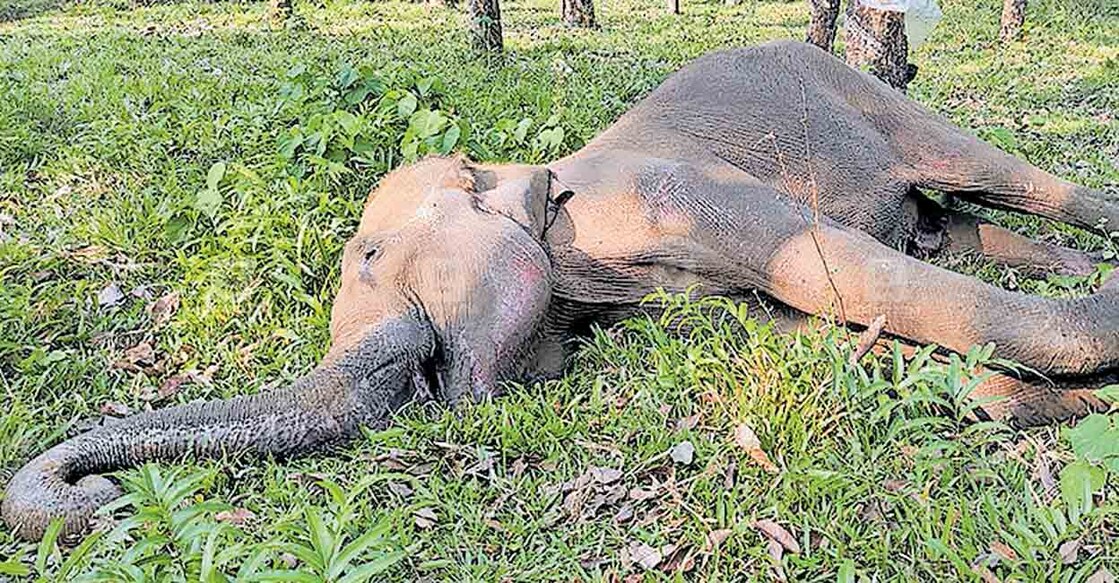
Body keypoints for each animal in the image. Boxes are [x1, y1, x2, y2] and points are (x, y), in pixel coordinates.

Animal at [6, 39, 1119, 541]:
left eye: (368, 259)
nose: (94, 495)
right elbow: (790, 325)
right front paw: (1036, 402)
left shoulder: (673, 194)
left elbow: (823, 271)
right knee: (949, 219)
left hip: (872, 96)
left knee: (996, 177)